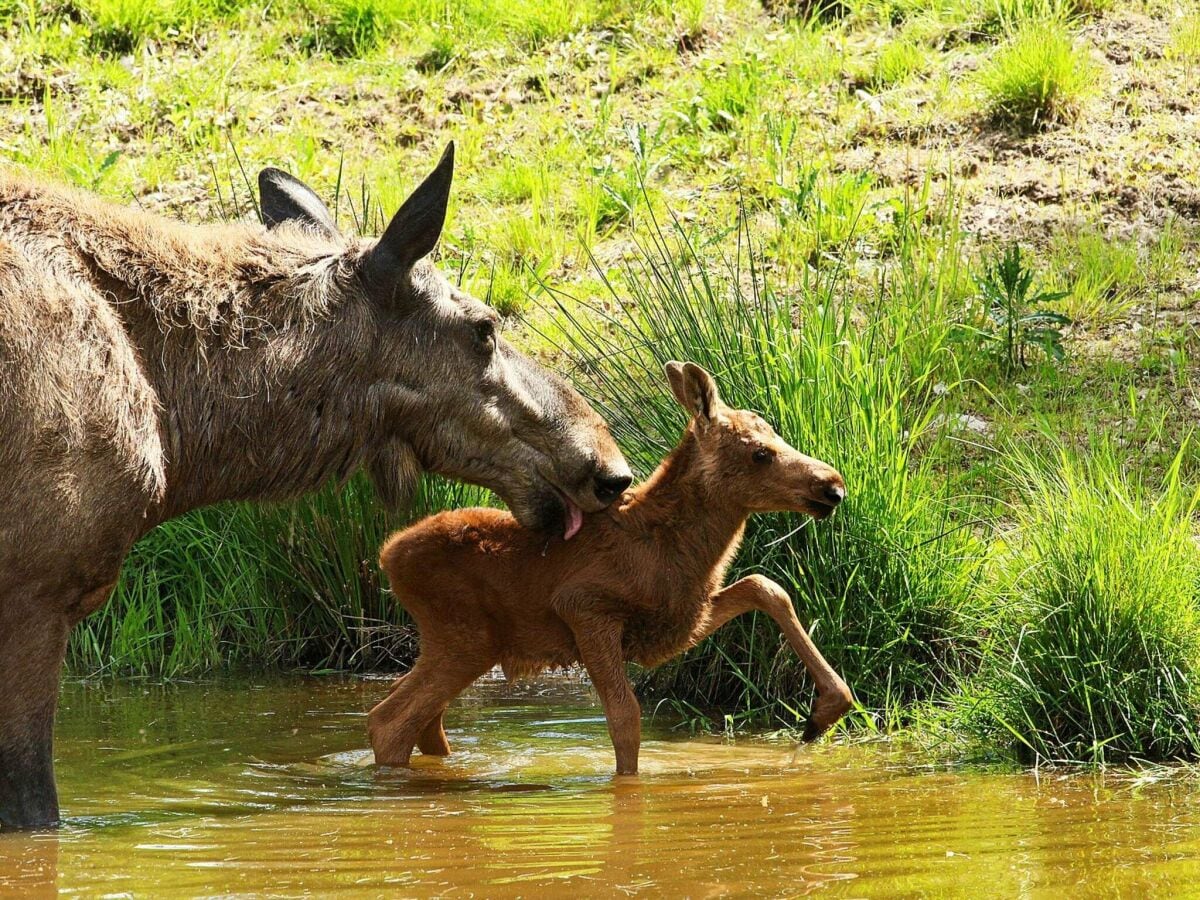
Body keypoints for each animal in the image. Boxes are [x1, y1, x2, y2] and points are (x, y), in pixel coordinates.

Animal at [374, 362, 854, 772]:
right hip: (465, 637)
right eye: (759, 454)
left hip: (459, 643)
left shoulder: (679, 621)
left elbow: (764, 585)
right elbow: (625, 718)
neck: (672, 549)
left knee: (418, 716)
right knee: (389, 720)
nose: (832, 486)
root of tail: (387, 555)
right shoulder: (585, 608)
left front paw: (825, 711)